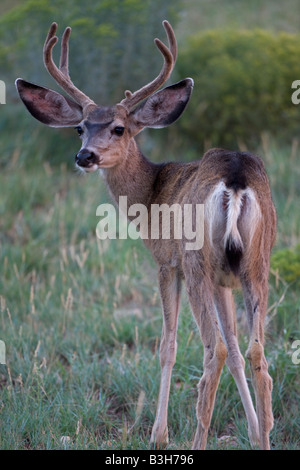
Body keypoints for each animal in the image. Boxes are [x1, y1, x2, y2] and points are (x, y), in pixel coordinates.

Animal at [15, 20, 276, 450]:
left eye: (119, 128)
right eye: (80, 128)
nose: (85, 156)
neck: (152, 194)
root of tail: (235, 180)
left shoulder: (166, 261)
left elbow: (167, 345)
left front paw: (159, 434)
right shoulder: (225, 280)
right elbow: (239, 352)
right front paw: (254, 432)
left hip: (197, 261)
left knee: (214, 350)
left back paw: (195, 440)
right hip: (257, 263)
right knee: (255, 352)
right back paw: (266, 432)